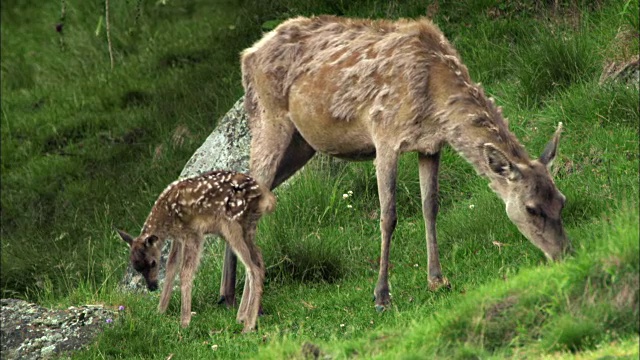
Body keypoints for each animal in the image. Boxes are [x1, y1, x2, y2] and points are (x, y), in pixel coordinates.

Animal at [117, 169, 276, 332]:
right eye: (136, 268)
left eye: (153, 263)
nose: (152, 287)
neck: (167, 215)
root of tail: (264, 196)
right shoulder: (178, 238)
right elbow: (170, 268)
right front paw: (160, 311)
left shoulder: (193, 233)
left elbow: (185, 272)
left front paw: (184, 322)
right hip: (248, 228)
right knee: (258, 260)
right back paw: (242, 317)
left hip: (231, 224)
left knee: (253, 267)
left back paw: (248, 325)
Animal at [212, 14, 572, 312]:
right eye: (531, 208)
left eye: (561, 200)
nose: (564, 253)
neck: (435, 98)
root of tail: (247, 54)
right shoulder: (384, 134)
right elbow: (389, 216)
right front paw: (381, 295)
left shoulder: (431, 146)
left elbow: (430, 207)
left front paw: (437, 279)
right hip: (267, 118)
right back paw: (243, 300)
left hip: (302, 144)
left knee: (245, 190)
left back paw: (229, 294)